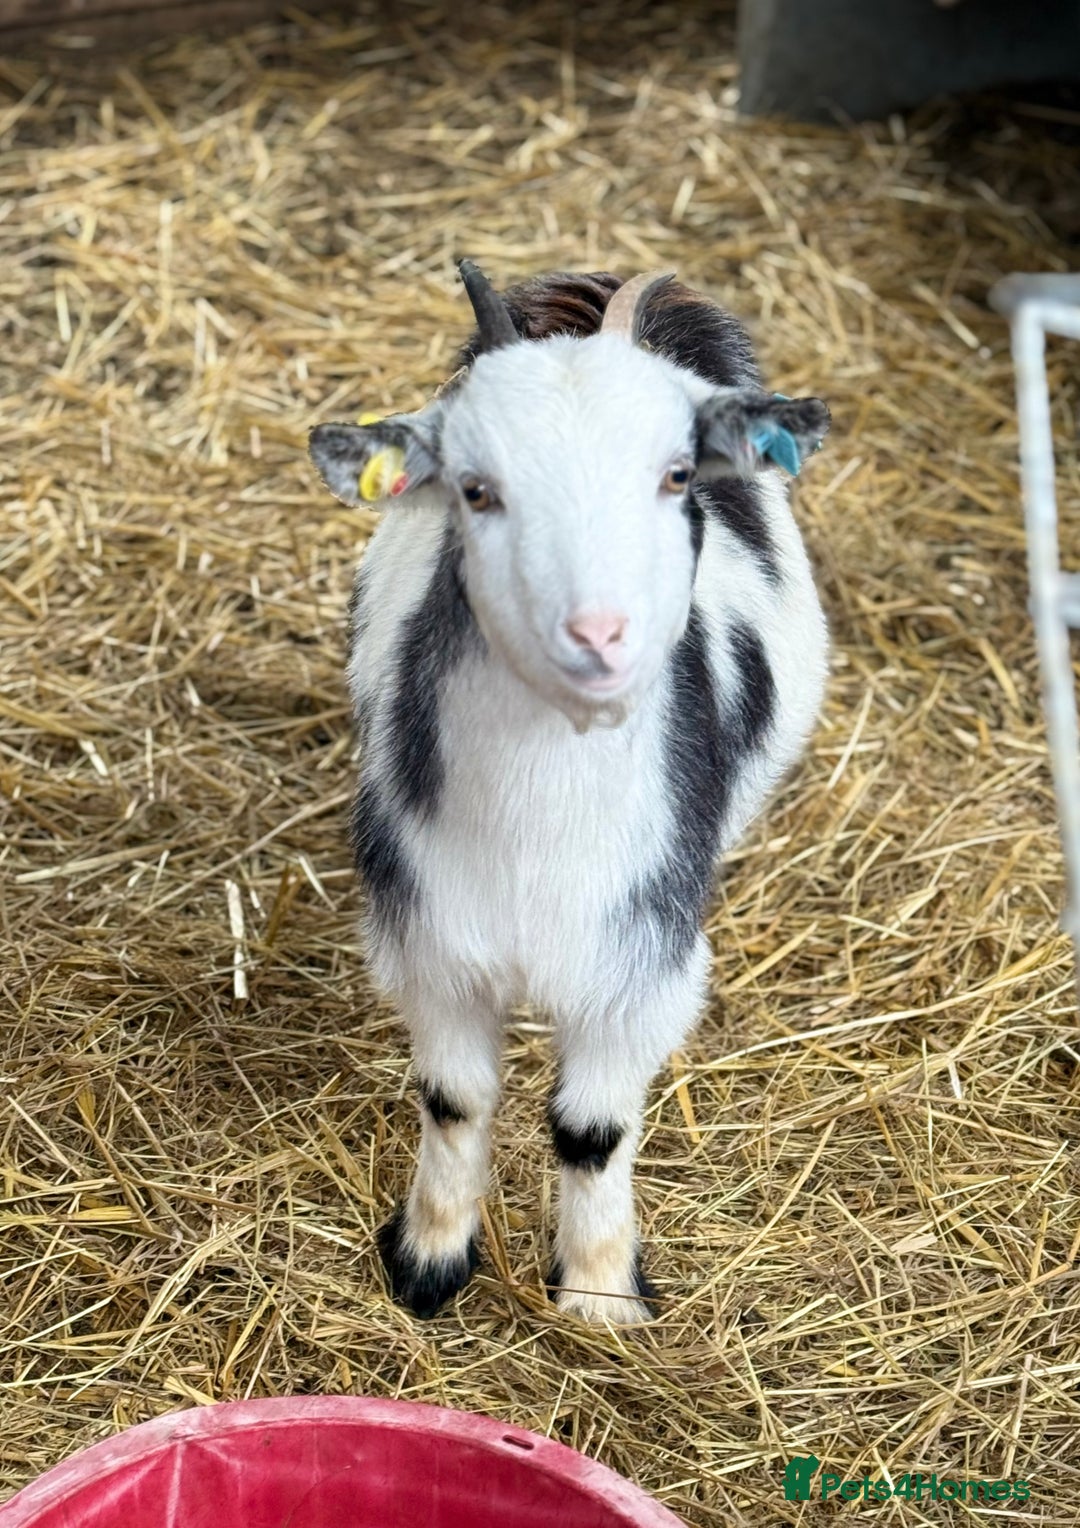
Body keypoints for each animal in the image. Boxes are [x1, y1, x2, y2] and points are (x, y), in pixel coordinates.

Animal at [308, 263, 830, 1325]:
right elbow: (454, 1101)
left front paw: (598, 1296)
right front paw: (429, 1261)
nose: (597, 634)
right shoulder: (432, 944)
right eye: (475, 490)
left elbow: (592, 1130)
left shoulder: (642, 968)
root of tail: (598, 301)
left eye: (677, 475)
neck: (534, 835)